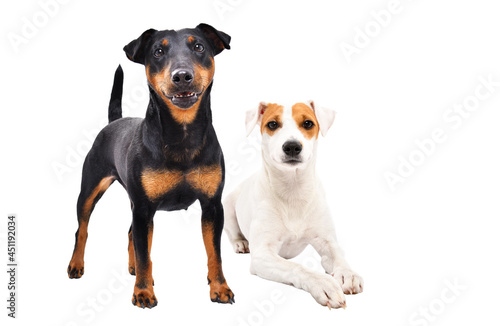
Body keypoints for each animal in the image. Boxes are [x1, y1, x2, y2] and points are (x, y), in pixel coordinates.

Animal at [67, 23, 236, 308]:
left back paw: (132, 267)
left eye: (199, 46)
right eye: (158, 51)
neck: (182, 134)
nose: (182, 76)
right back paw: (76, 265)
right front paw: (143, 293)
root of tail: (114, 122)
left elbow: (215, 253)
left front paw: (220, 288)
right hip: (90, 189)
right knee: (83, 229)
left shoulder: (212, 205)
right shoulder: (145, 208)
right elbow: (145, 253)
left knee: (130, 234)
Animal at [224, 101, 364, 308]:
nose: (292, 146)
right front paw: (323, 283)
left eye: (308, 123)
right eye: (272, 124)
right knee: (232, 232)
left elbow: (338, 256)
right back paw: (240, 243)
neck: (293, 191)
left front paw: (348, 274)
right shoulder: (262, 254)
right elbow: (296, 267)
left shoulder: (327, 241)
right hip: (227, 205)